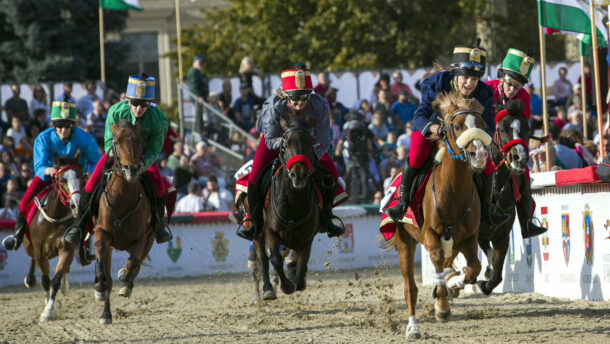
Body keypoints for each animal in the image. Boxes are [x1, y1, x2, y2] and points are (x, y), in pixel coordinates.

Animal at [21, 152, 83, 322]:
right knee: (32, 259)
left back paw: (64, 286)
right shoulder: (39, 250)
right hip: (29, 246)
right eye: (62, 180)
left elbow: (55, 280)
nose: (76, 205)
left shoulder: (66, 248)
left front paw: (48, 311)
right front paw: (47, 305)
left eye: (81, 176)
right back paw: (30, 279)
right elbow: (45, 280)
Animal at [93, 119, 154, 324]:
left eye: (140, 141)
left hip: (149, 239)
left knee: (138, 261)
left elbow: (133, 261)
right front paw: (100, 288)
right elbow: (100, 253)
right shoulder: (102, 233)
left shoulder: (141, 239)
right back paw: (105, 312)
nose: (132, 170)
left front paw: (125, 281)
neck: (122, 199)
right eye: (116, 142)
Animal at [384, 92, 490, 340]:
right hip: (405, 241)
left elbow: (473, 268)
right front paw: (442, 307)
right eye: (458, 126)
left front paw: (453, 285)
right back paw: (413, 327)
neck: (452, 192)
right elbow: (436, 260)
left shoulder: (469, 238)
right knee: (410, 288)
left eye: (482, 124)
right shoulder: (430, 235)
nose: (479, 154)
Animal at [478, 99, 528, 292]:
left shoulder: (502, 236)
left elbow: (497, 275)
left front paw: (486, 281)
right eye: (501, 129)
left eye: (528, 128)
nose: (519, 158)